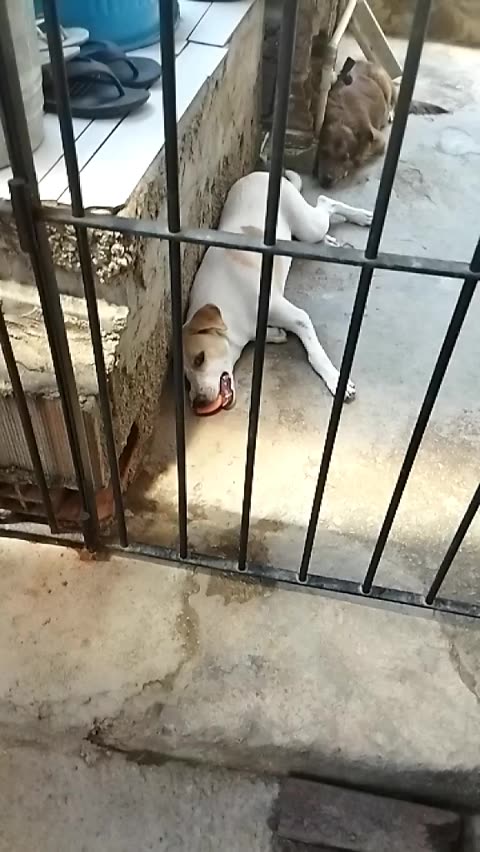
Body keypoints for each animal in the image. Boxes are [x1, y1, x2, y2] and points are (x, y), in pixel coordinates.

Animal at [182, 170, 373, 414]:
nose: (198, 403)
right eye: (186, 379)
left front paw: (335, 380)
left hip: (308, 226)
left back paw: (362, 217)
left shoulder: (297, 316)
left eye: (200, 359)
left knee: (325, 202)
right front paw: (275, 333)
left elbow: (316, 354)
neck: (229, 310)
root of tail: (260, 173)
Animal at [316, 59, 448, 188]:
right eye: (324, 152)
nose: (327, 180)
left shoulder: (379, 140)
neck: (342, 121)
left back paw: (390, 113)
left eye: (345, 157)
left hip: (385, 85)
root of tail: (369, 62)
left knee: (391, 104)